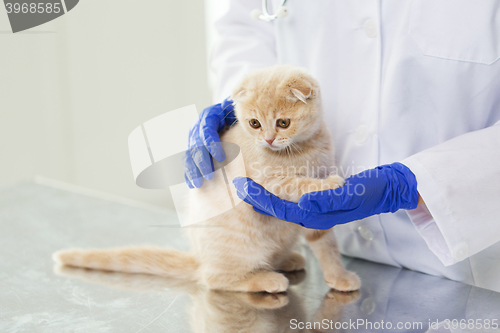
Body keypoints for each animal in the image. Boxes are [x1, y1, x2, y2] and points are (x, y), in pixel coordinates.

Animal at [53, 65, 360, 294]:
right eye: (254, 124)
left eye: (283, 123)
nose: (269, 140)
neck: (301, 149)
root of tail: (199, 258)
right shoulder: (267, 183)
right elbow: (297, 183)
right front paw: (329, 185)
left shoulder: (315, 214)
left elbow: (326, 243)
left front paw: (338, 275)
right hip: (236, 249)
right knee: (214, 279)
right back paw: (265, 278)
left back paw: (286, 259)